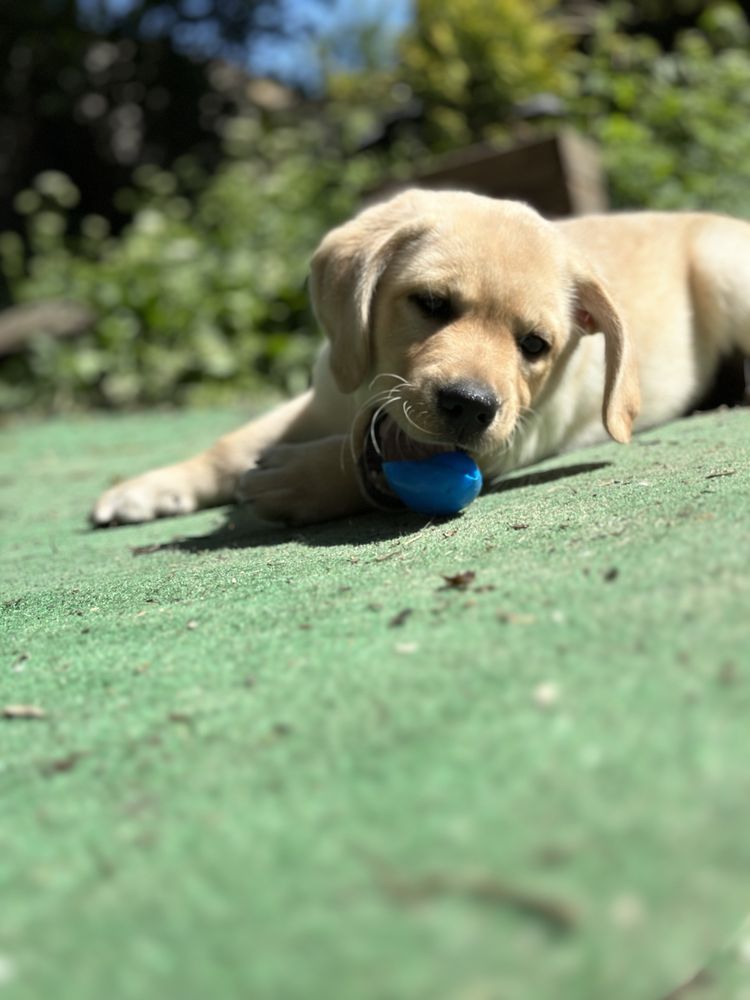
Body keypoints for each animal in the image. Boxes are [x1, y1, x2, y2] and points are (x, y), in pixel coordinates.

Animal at [94, 190, 750, 528]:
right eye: (431, 303)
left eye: (535, 345)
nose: (470, 406)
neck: (366, 400)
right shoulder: (322, 391)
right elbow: (234, 444)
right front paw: (152, 487)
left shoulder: (515, 433)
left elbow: (375, 465)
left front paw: (303, 480)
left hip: (723, 269)